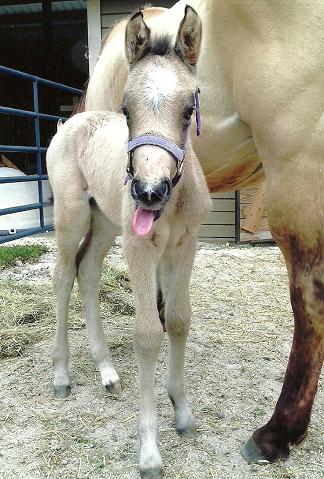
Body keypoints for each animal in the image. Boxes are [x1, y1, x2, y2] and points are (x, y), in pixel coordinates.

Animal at [47, 6, 210, 476]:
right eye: (126, 109)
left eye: (188, 108)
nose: (149, 192)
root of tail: (70, 121)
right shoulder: (141, 250)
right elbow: (148, 334)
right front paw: (150, 451)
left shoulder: (184, 246)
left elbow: (178, 319)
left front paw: (183, 414)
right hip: (72, 217)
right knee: (62, 276)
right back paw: (62, 375)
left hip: (104, 223)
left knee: (86, 270)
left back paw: (107, 372)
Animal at [84, 0, 324, 470]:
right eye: (127, 111)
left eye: (186, 110)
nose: (149, 189)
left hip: (298, 177)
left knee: (309, 301)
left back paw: (278, 432)